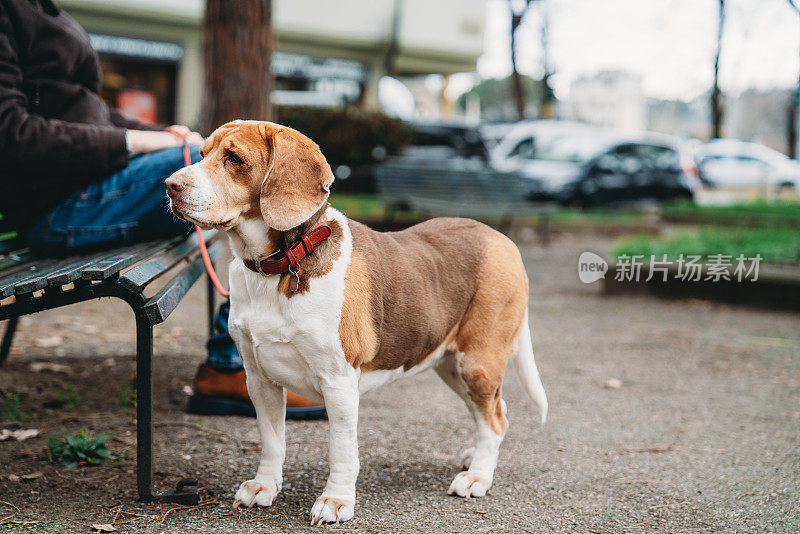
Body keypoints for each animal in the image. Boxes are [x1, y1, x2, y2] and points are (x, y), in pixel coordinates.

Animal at [165, 121, 548, 528]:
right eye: (202, 153)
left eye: (234, 158)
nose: (170, 185)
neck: (279, 266)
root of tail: (501, 238)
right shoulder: (259, 379)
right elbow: (272, 441)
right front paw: (264, 486)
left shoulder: (339, 384)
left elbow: (341, 450)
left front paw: (335, 501)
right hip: (450, 365)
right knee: (491, 412)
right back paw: (475, 458)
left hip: (477, 363)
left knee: (496, 420)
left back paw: (478, 476)